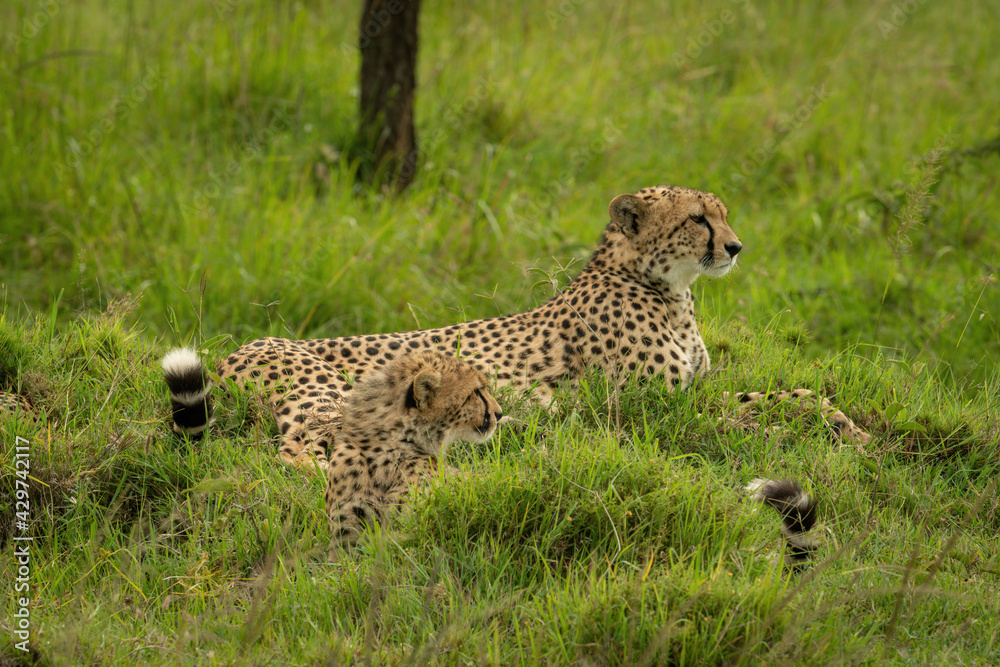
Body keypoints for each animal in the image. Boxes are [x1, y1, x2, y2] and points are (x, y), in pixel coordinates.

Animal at [216, 184, 871, 468]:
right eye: (696, 219)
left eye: (724, 215)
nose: (735, 247)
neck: (668, 290)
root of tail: (230, 351)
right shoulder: (647, 407)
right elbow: (732, 423)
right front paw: (787, 438)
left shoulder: (691, 389)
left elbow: (784, 393)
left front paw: (843, 423)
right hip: (323, 392)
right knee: (298, 451)